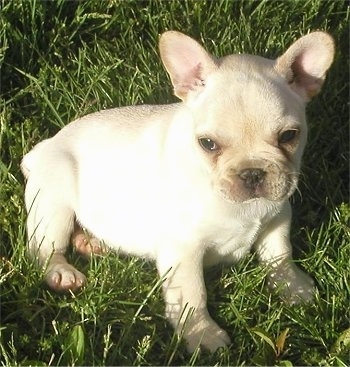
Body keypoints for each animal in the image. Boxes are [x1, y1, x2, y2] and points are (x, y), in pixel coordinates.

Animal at [21, 30, 334, 354]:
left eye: (289, 136)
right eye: (208, 144)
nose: (252, 173)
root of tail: (44, 147)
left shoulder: (278, 215)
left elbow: (279, 253)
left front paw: (293, 287)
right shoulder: (184, 250)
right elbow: (192, 294)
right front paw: (202, 335)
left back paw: (89, 242)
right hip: (54, 202)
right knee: (43, 249)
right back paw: (62, 273)